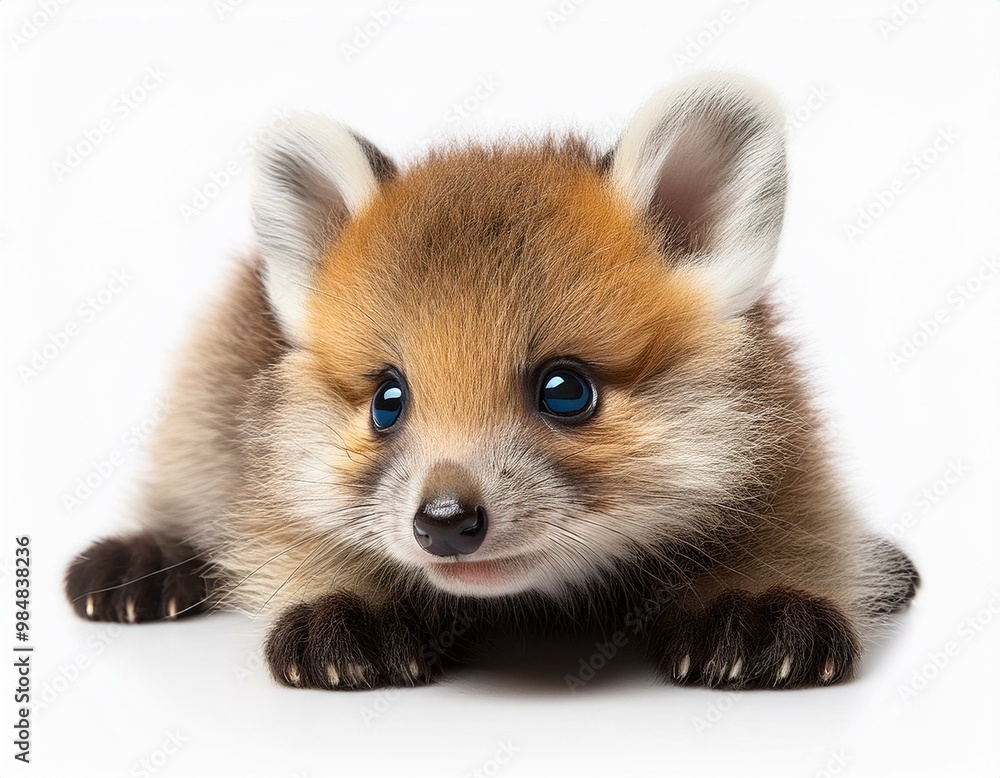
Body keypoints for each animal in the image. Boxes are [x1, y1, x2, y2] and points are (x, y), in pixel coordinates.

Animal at [65, 72, 919, 691]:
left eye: (566, 389)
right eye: (387, 401)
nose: (443, 521)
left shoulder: (784, 453)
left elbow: (796, 529)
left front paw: (763, 604)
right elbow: (290, 534)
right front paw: (349, 609)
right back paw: (141, 563)